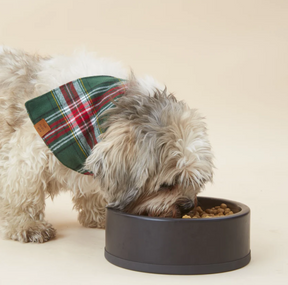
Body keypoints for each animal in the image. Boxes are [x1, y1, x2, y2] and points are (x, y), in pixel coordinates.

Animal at [0, 47, 214, 242]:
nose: (187, 206)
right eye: (166, 185)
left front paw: (99, 215)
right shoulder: (28, 157)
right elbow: (24, 194)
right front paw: (28, 224)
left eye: (196, 182)